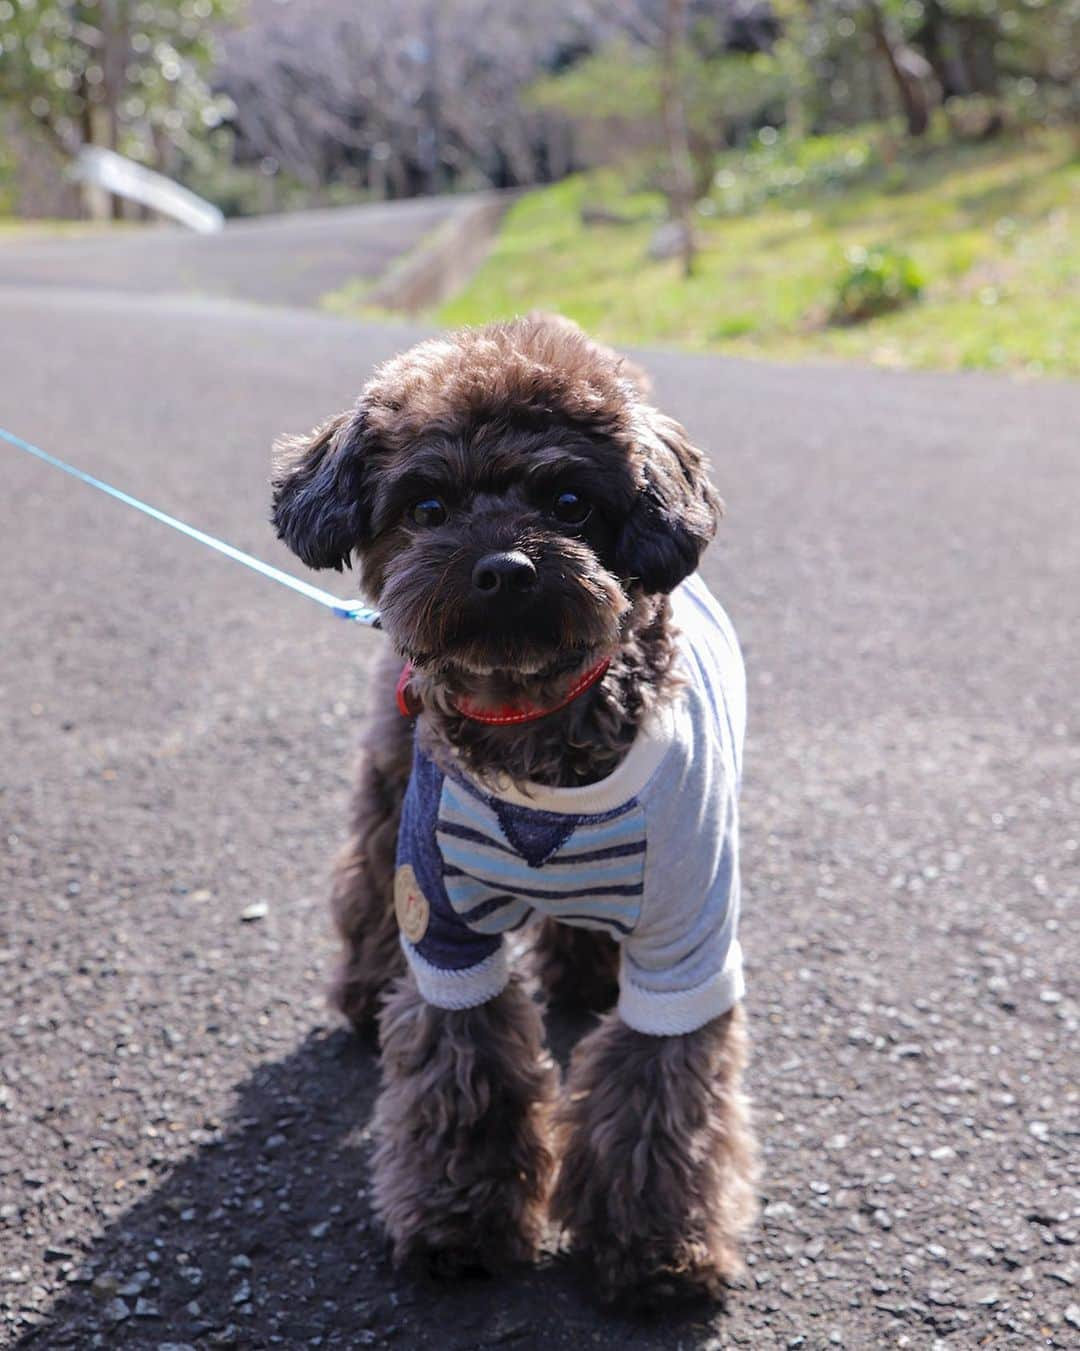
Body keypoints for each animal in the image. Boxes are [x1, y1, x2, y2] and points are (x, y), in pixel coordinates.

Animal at [270, 310, 762, 1302]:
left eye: (569, 503)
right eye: (426, 508)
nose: (502, 567)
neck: (534, 723)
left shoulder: (688, 936)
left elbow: (664, 1089)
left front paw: (658, 1245)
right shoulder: (442, 916)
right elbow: (466, 1064)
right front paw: (459, 1222)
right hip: (392, 775)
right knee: (367, 873)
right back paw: (364, 994)